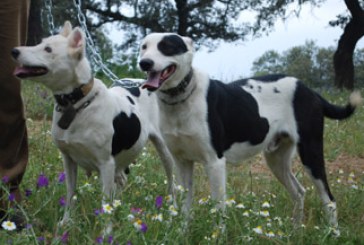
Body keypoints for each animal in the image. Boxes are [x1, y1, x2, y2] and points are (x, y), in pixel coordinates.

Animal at [11, 22, 176, 229]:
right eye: (40, 43)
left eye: (48, 49)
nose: (14, 51)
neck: (77, 103)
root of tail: (145, 83)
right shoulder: (68, 160)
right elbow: (70, 193)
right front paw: (66, 222)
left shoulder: (106, 164)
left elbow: (105, 202)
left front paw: (106, 231)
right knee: (120, 182)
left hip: (164, 152)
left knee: (171, 180)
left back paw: (171, 209)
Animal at [139, 32, 362, 234]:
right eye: (143, 47)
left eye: (167, 46)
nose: (144, 63)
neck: (181, 98)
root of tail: (309, 90)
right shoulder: (182, 162)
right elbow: (184, 206)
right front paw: (181, 234)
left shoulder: (215, 162)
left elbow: (218, 207)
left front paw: (217, 236)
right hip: (276, 159)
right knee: (299, 192)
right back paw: (295, 232)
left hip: (311, 153)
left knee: (329, 199)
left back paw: (333, 234)